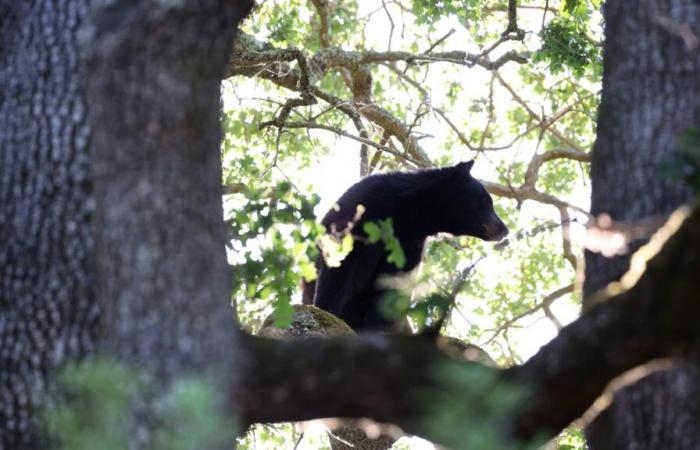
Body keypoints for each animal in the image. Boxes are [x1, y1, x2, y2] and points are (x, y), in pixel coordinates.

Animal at [304, 161, 506, 330]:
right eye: (487, 201)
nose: (505, 229)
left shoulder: (408, 246)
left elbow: (392, 285)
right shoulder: (360, 214)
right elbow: (340, 264)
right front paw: (328, 312)